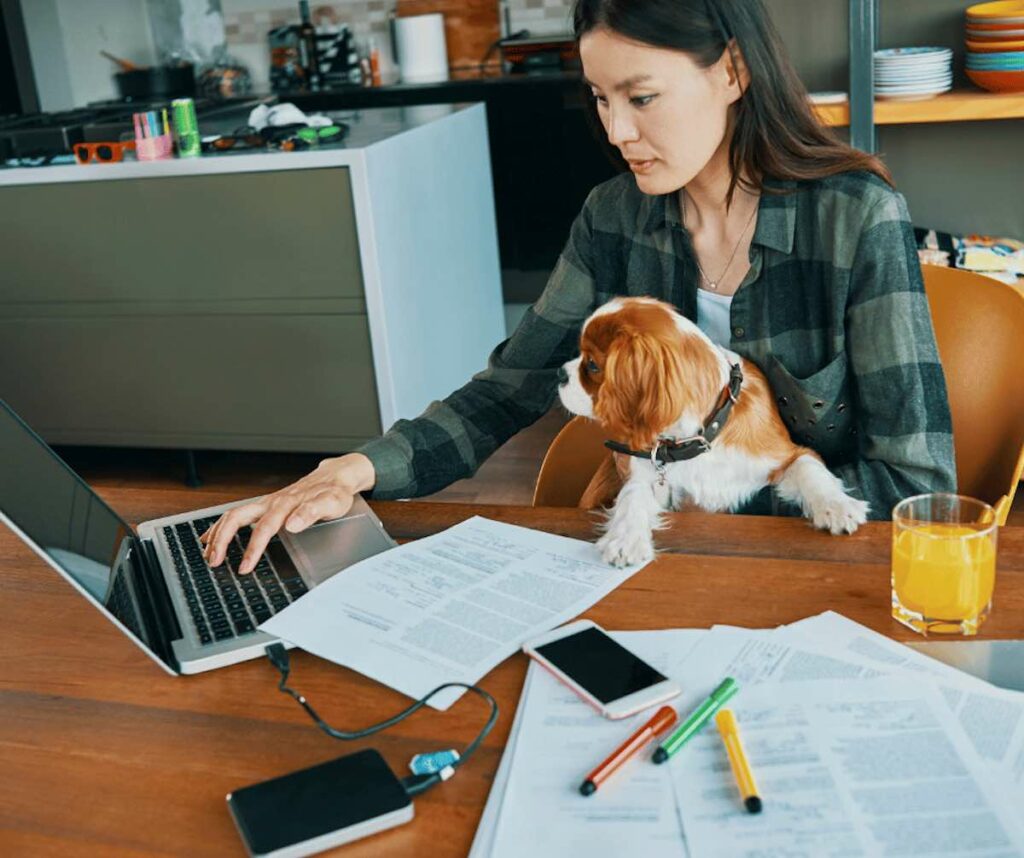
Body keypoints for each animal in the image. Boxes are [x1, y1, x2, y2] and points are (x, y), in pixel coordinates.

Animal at [557, 298, 868, 569]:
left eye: (593, 365)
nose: (561, 373)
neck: (697, 439)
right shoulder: (644, 473)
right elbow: (632, 495)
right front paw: (624, 538)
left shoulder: (787, 454)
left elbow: (809, 469)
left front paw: (837, 507)